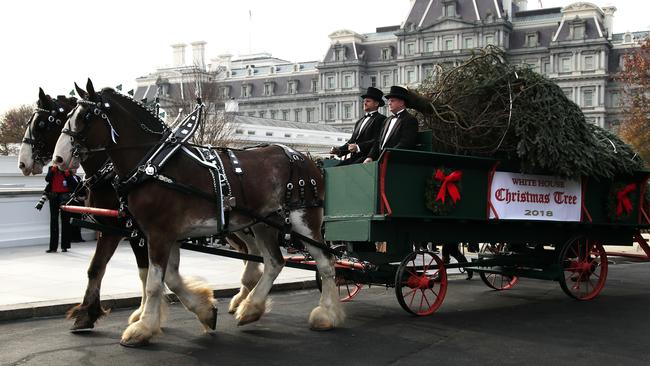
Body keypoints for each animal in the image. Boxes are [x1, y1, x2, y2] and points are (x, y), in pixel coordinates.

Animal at [18, 88, 151, 328]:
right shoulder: (116, 229)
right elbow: (98, 267)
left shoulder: (132, 230)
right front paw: (88, 312)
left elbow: (148, 270)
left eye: (41, 124)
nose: (22, 163)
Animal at [53, 79, 342, 346]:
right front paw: (204, 311)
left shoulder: (157, 234)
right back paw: (250, 308)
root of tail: (305, 158)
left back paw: (326, 314)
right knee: (274, 262)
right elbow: (169, 278)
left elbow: (154, 282)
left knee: (326, 261)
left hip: (303, 221)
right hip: (265, 223)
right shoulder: (164, 234)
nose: (58, 159)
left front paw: (142, 327)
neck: (153, 165)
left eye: (84, 118)